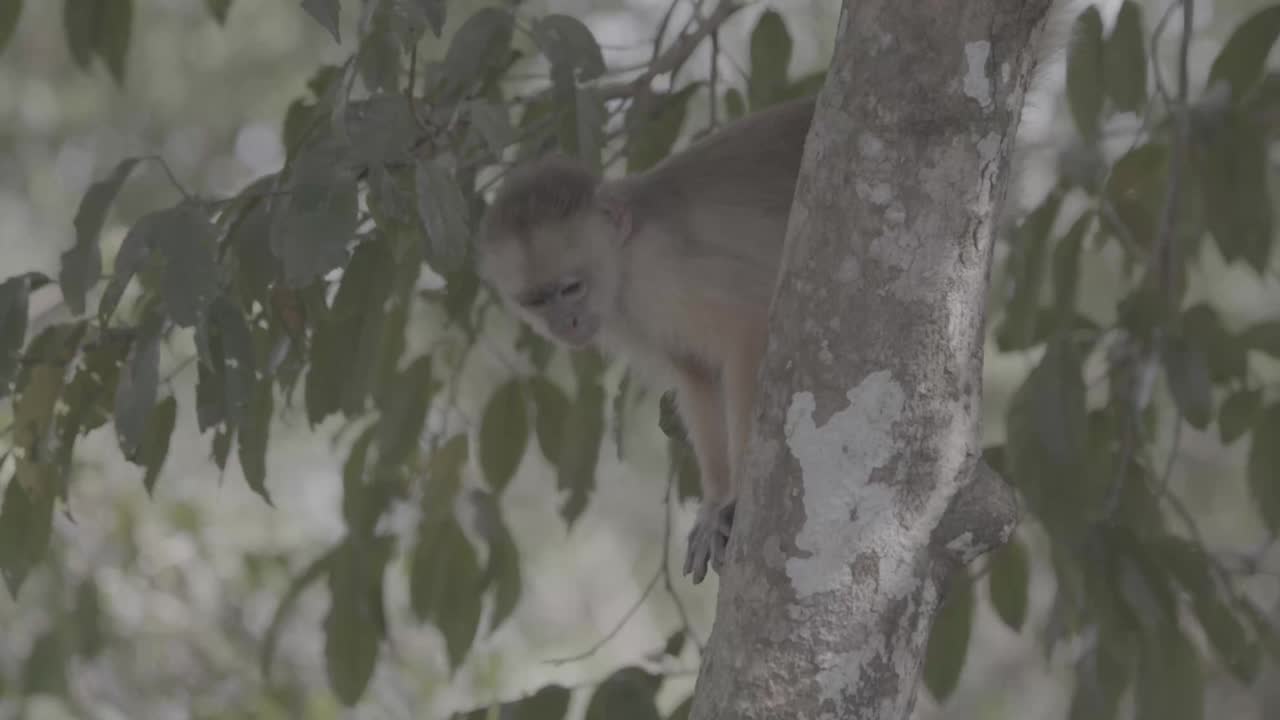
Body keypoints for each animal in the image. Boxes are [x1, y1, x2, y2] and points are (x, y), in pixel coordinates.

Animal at [476, 94, 814, 584]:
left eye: (571, 289)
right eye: (537, 300)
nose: (564, 323)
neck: (623, 264)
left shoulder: (663, 272)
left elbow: (747, 332)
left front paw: (735, 499)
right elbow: (696, 375)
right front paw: (715, 501)